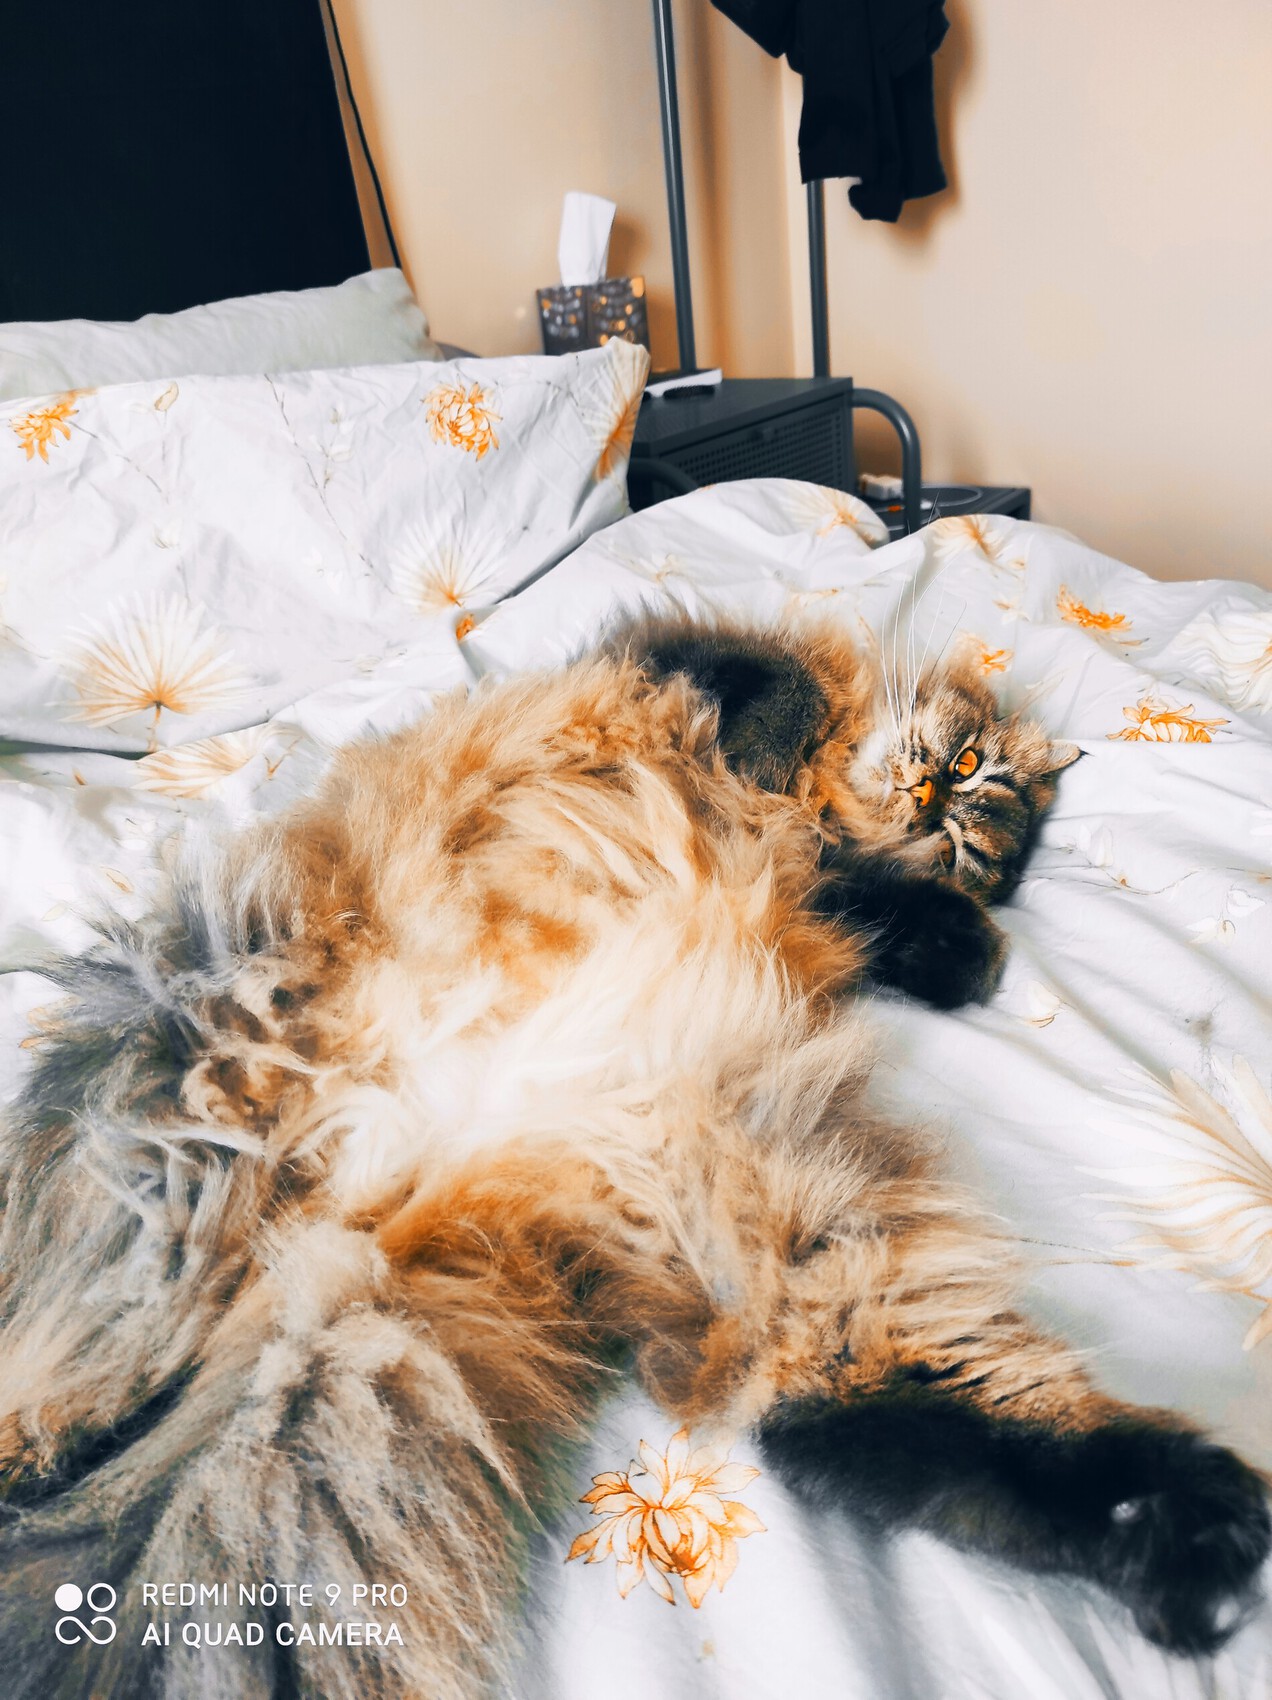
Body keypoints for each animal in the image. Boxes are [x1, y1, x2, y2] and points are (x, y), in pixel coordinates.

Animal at [0, 614, 1266, 1700]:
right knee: (77, 1361)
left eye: (964, 819)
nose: (924, 800)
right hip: (171, 1144)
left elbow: (875, 901)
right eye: (962, 766)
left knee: (865, 1412)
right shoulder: (689, 655)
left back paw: (1200, 1544)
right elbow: (777, 726)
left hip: (777, 1220)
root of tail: (380, 1188)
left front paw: (942, 927)